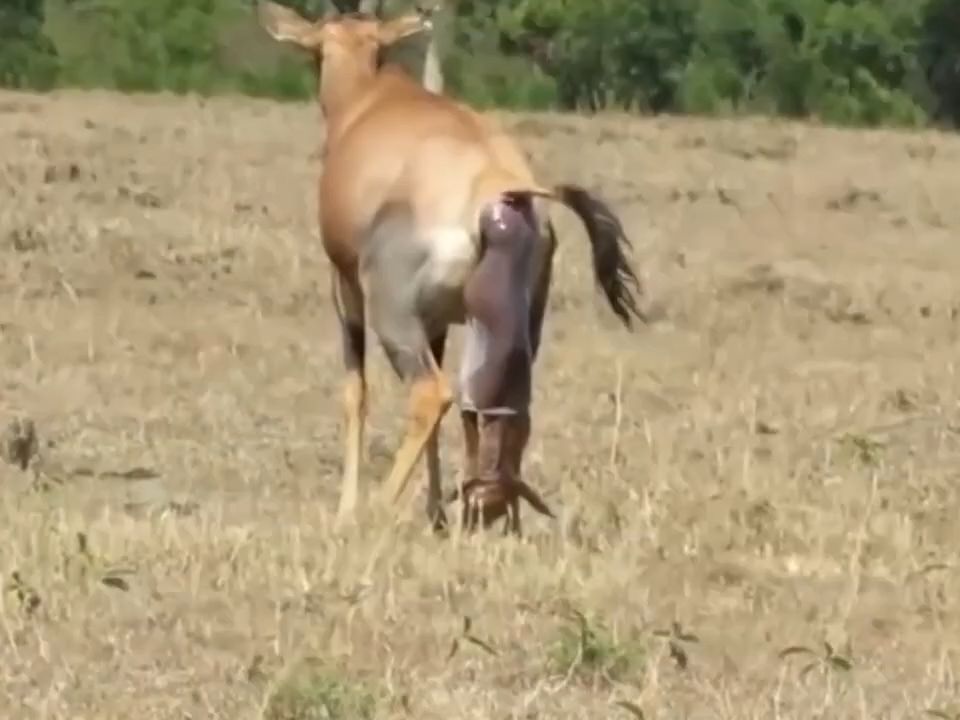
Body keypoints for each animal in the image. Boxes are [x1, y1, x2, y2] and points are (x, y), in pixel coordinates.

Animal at [255, 0, 648, 536]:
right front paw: (437, 513)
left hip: (393, 313)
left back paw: (379, 510)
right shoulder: (438, 318)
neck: (369, 97)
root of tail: (501, 187)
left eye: (318, 46)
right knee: (493, 403)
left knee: (432, 393)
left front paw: (346, 511)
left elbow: (355, 391)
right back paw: (495, 513)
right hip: (517, 320)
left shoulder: (345, 287)